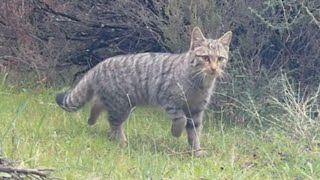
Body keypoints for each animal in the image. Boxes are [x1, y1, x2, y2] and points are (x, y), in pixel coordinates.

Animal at [56, 27, 231, 157]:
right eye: (206, 58)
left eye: (220, 59)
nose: (214, 68)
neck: (200, 84)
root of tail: (98, 65)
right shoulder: (170, 100)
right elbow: (180, 119)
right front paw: (175, 133)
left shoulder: (196, 111)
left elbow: (195, 133)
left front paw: (197, 151)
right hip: (121, 105)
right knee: (113, 122)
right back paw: (121, 141)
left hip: (119, 103)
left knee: (98, 105)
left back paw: (92, 120)